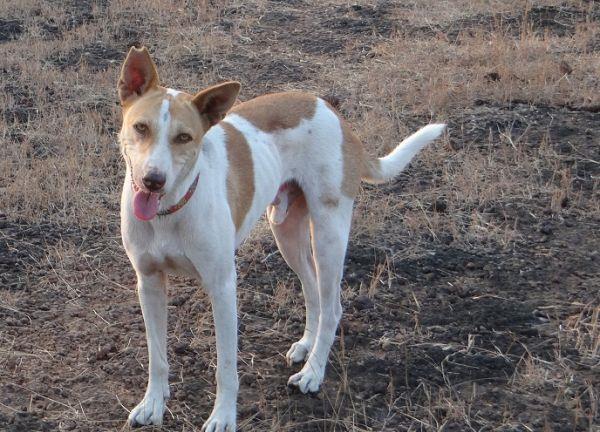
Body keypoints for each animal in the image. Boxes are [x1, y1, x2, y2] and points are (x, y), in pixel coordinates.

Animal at [117, 45, 446, 430]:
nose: (153, 180)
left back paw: (313, 372)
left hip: (329, 234)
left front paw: (223, 416)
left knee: (332, 306)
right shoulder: (149, 282)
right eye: (141, 127)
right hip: (286, 233)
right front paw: (153, 403)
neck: (170, 210)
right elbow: (156, 355)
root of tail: (332, 112)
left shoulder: (222, 286)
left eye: (184, 138)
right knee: (313, 290)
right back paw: (307, 345)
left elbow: (226, 367)